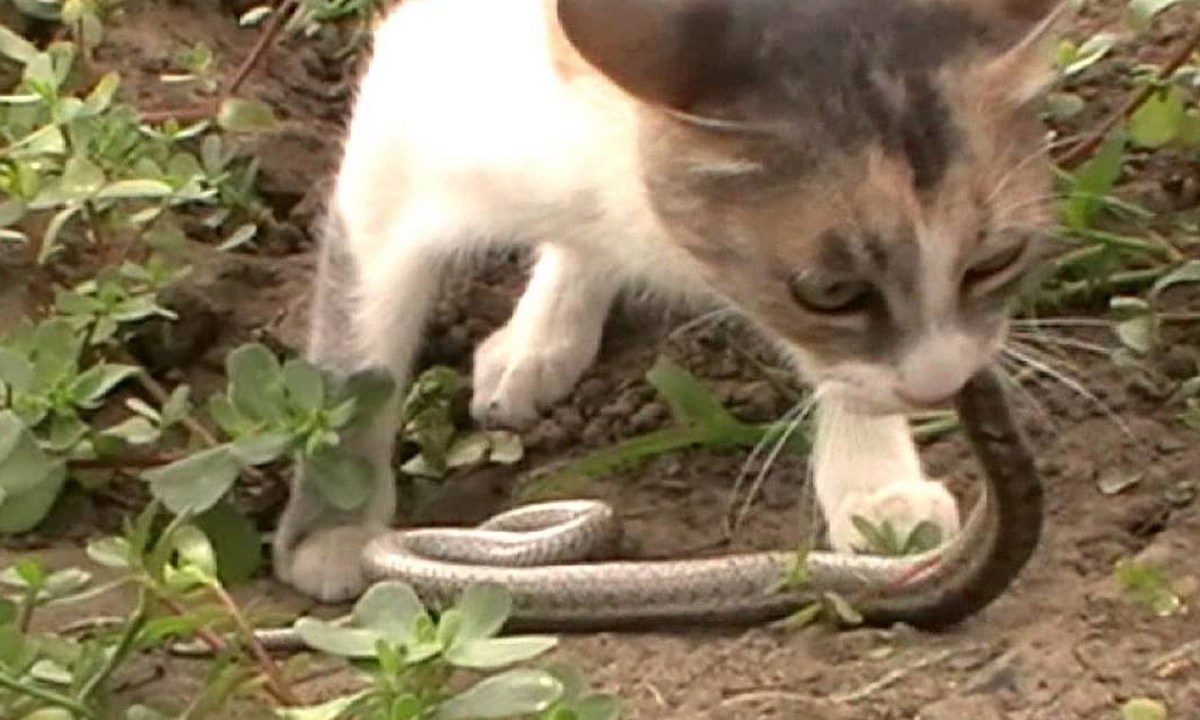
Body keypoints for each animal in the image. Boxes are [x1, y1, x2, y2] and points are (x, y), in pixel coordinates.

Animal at [272, 0, 1060, 602]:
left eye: (996, 261)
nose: (943, 384)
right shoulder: (413, 117)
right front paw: (334, 527)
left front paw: (876, 485)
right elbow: (358, 349)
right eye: (832, 293)